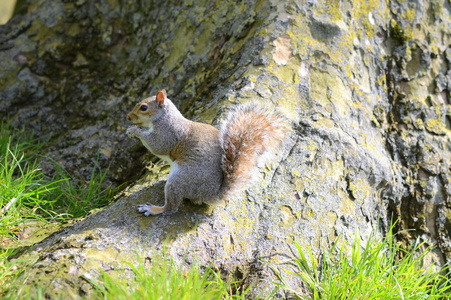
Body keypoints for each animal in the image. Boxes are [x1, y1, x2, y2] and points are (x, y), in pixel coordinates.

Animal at [127, 89, 290, 216]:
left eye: (143, 107)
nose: (128, 117)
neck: (164, 117)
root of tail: (212, 194)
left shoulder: (168, 133)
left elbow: (157, 146)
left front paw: (134, 131)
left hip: (181, 179)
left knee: (172, 207)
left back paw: (154, 209)